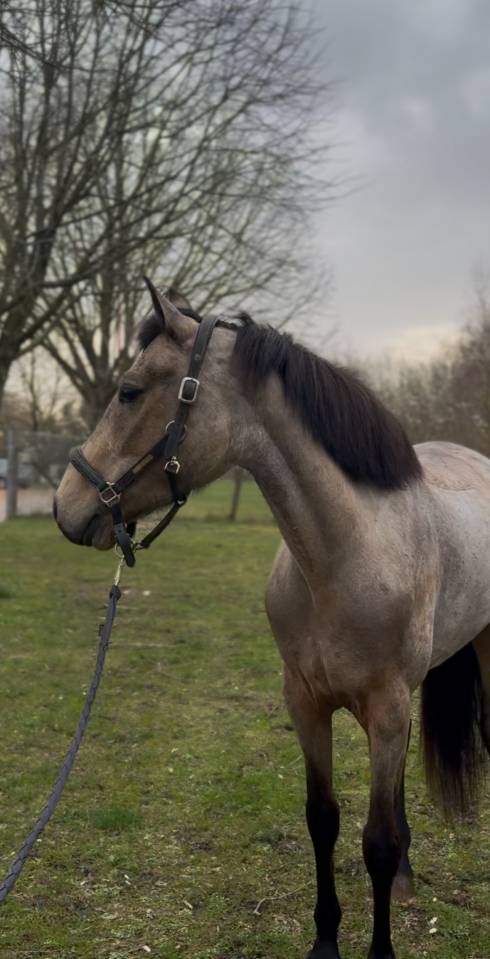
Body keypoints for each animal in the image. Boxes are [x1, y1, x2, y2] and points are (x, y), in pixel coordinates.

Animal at [54, 283, 490, 959]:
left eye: (128, 390)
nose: (64, 505)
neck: (349, 556)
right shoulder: (306, 702)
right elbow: (324, 820)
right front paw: (325, 940)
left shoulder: (386, 705)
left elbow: (376, 841)